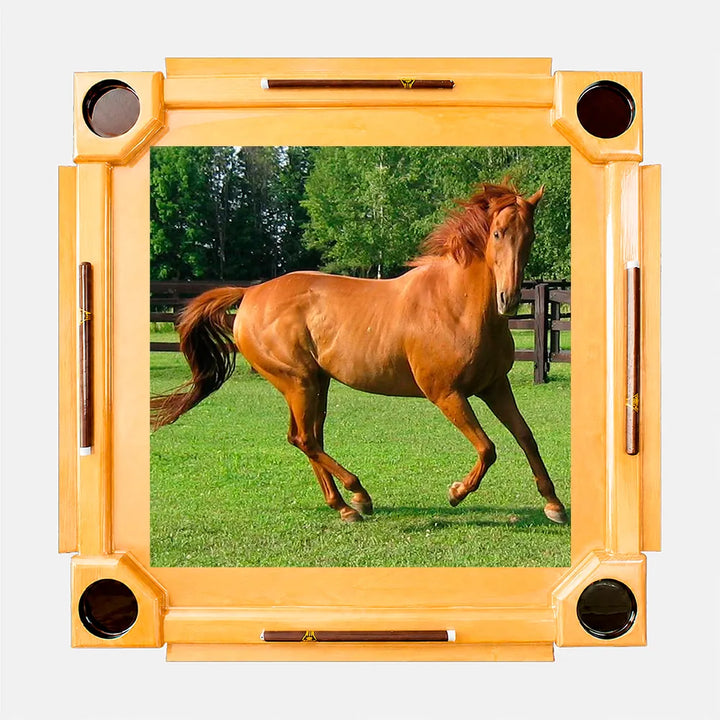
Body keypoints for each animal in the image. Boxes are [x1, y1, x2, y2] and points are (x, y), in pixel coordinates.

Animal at [151, 182, 568, 525]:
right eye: (497, 233)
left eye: (530, 236)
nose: (508, 299)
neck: (455, 305)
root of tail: (250, 293)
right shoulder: (447, 394)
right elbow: (488, 448)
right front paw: (456, 493)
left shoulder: (495, 386)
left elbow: (526, 436)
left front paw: (554, 505)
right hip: (299, 382)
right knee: (305, 439)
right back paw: (358, 496)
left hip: (315, 384)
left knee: (308, 438)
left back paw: (345, 505)